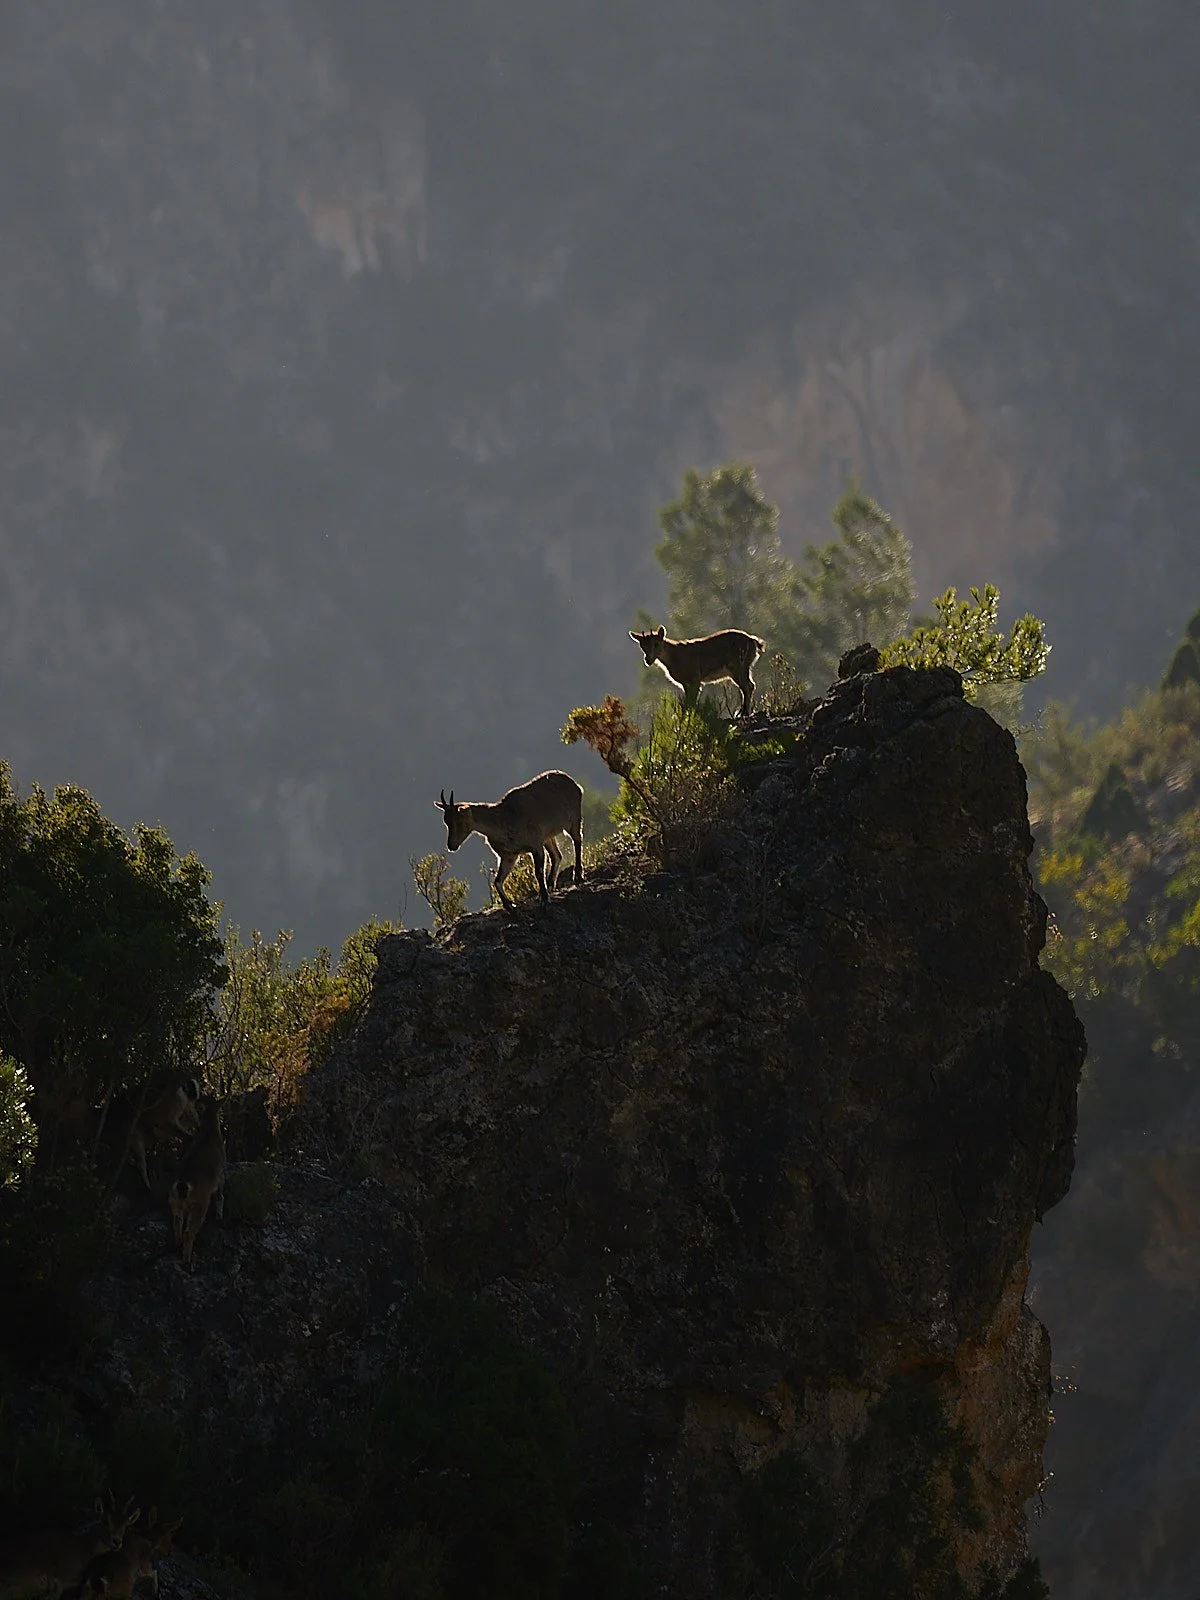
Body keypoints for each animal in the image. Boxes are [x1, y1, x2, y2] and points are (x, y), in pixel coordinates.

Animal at [168, 1098, 225, 1269]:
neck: (210, 1132)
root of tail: (183, 1186)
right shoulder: (221, 1173)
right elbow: (220, 1195)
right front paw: (220, 1217)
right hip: (200, 1204)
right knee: (189, 1232)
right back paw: (187, 1261)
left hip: (175, 1202)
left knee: (177, 1224)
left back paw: (177, 1247)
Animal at [435, 770, 583, 910]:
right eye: (446, 822)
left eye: (459, 821)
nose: (451, 846)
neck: (504, 820)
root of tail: (574, 784)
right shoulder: (509, 856)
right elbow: (497, 881)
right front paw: (510, 906)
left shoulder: (535, 845)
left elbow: (538, 872)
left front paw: (545, 900)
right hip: (548, 837)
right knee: (556, 855)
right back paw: (552, 885)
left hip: (574, 820)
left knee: (577, 841)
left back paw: (577, 877)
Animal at [629, 624, 765, 718]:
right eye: (642, 646)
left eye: (656, 643)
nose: (648, 659)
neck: (674, 657)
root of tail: (753, 641)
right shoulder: (685, 683)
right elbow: (688, 702)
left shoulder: (694, 678)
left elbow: (691, 702)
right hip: (744, 667)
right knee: (749, 685)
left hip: (738, 667)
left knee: (748, 686)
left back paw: (744, 713)